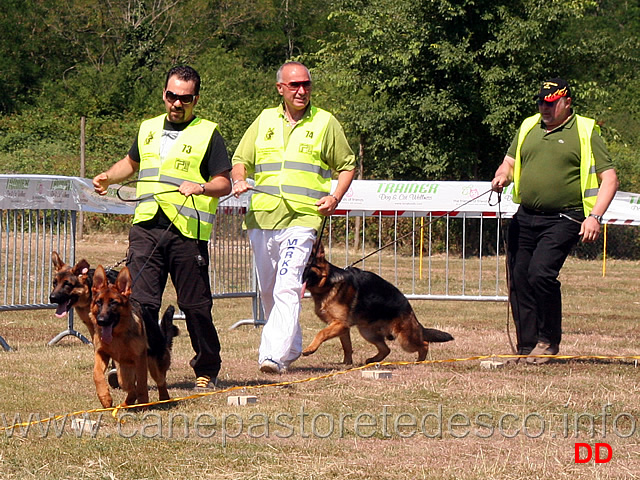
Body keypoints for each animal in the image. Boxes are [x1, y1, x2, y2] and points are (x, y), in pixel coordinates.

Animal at [91, 264, 179, 406]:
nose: (101, 321)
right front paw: (105, 398)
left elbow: (142, 385)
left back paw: (163, 400)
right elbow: (96, 374)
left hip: (154, 367)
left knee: (160, 382)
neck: (117, 335)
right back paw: (126, 404)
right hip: (122, 374)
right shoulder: (101, 353)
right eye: (98, 302)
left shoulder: (140, 359)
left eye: (113, 303)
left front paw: (143, 405)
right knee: (131, 388)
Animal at [302, 244, 452, 364]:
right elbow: (347, 347)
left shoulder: (340, 324)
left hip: (404, 339)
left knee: (424, 344)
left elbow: (321, 333)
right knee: (386, 349)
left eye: (306, 266)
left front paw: (310, 348)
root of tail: (408, 307)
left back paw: (419, 362)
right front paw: (346, 364)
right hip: (367, 332)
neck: (328, 284)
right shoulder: (342, 327)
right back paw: (372, 360)